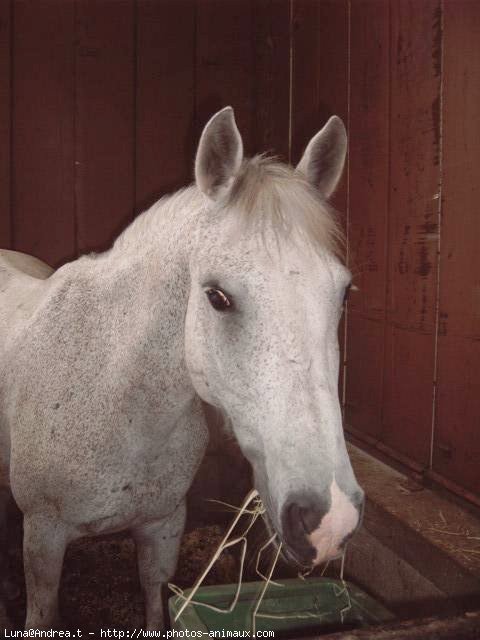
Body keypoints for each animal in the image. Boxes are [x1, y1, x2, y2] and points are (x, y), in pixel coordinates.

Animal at [0, 106, 364, 632]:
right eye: (217, 296)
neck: (120, 403)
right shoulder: (44, 537)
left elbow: (157, 602)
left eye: (344, 292)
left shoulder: (163, 527)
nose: (330, 520)